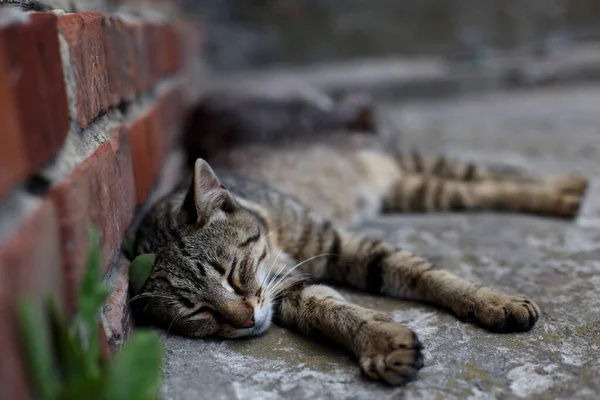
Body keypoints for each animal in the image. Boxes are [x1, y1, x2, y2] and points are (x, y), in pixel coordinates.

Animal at [134, 92, 588, 386]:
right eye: (199, 312)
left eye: (232, 273)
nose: (246, 321)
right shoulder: (291, 288)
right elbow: (333, 310)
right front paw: (381, 342)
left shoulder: (337, 243)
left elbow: (430, 275)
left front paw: (493, 300)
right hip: (419, 189)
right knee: (480, 190)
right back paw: (564, 195)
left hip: (420, 164)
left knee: (495, 173)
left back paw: (566, 186)